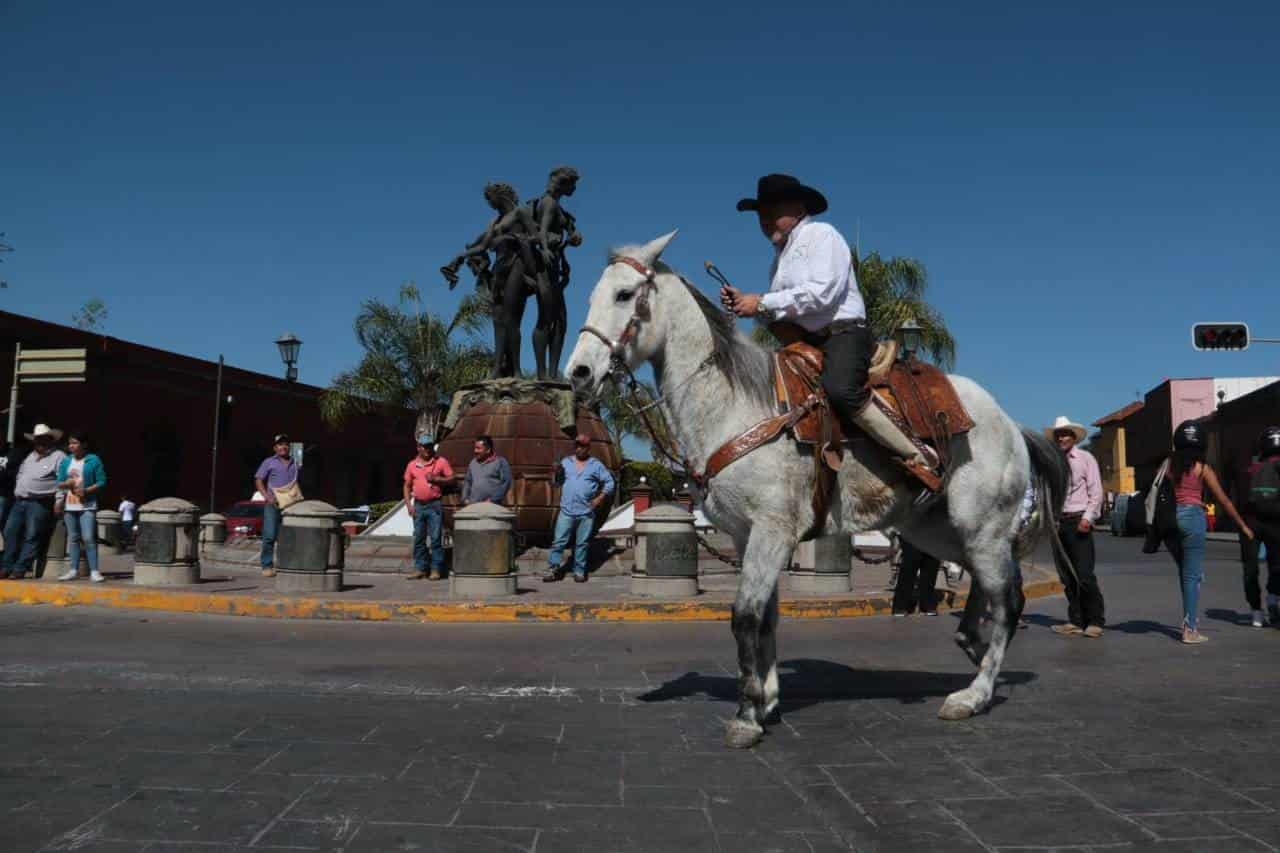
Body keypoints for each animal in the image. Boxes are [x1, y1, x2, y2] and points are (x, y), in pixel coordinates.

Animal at [565, 231, 1068, 749]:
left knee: (1007, 598)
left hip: (982, 526)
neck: (735, 407)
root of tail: (1011, 423)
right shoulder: (745, 536)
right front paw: (767, 700)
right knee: (985, 584)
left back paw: (974, 694)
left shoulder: (772, 531)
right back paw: (971, 645)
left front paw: (747, 713)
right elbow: (766, 616)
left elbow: (745, 615)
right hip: (936, 531)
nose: (578, 373)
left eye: (625, 295)